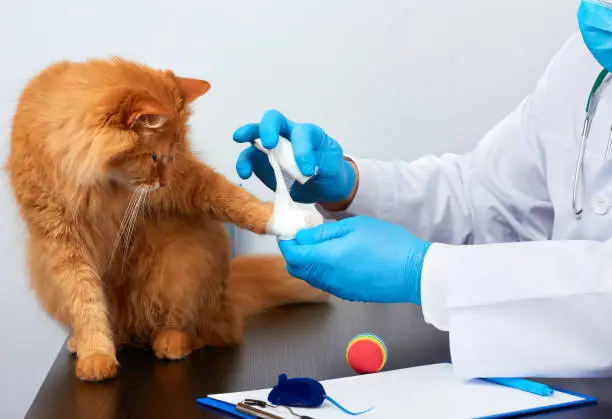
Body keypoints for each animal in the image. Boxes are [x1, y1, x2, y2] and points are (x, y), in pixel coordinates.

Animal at [7, 57, 328, 382]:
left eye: (170, 156)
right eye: (154, 157)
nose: (162, 181)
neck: (99, 185)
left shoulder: (182, 180)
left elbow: (228, 196)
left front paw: (275, 216)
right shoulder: (62, 240)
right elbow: (85, 301)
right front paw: (96, 354)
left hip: (185, 259)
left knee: (200, 331)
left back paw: (172, 341)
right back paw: (92, 341)